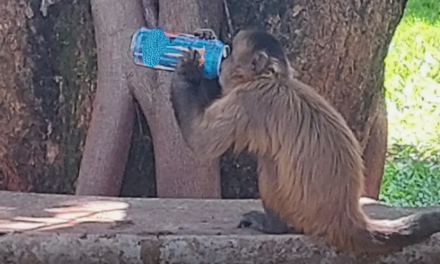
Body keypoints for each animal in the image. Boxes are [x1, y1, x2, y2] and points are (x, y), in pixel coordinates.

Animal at [168, 29, 440, 256]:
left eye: (232, 53)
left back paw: (275, 225)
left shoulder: (250, 99)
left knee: (269, 162)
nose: (222, 60)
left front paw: (187, 70)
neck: (275, 79)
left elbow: (201, 141)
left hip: (301, 212)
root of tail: (346, 214)